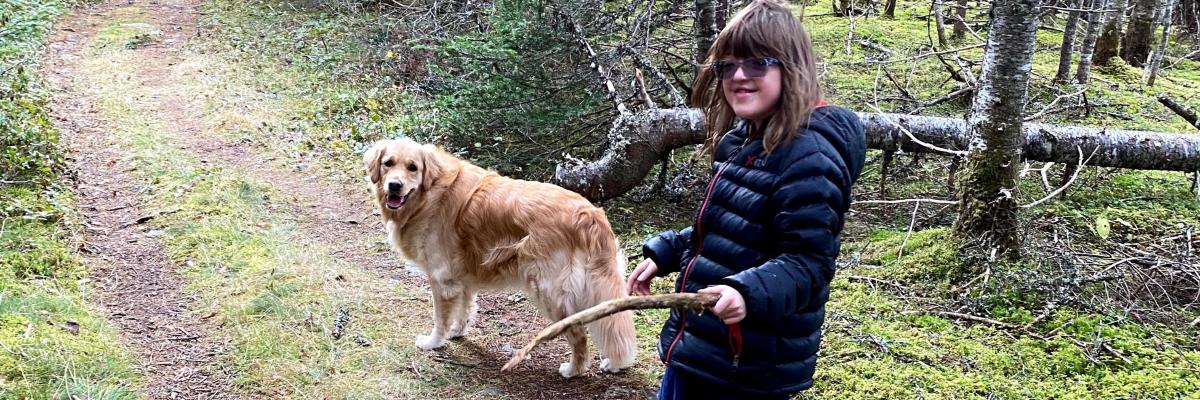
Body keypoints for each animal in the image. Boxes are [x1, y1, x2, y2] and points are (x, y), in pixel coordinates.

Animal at [362, 138, 638, 374]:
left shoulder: (441, 279)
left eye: (413, 167)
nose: (394, 186)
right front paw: (458, 331)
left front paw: (433, 342)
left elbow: (440, 318)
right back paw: (612, 364)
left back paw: (573, 370)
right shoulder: (461, 276)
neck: (428, 194)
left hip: (550, 291)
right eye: (388, 163)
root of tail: (589, 214)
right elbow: (465, 307)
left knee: (578, 333)